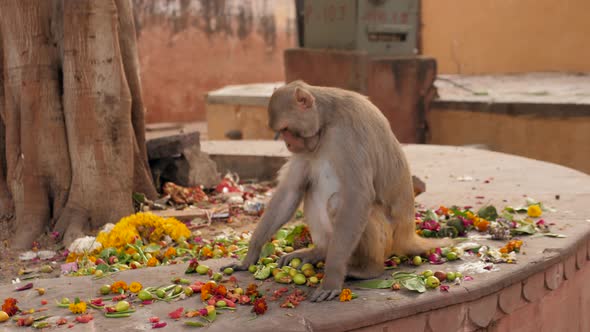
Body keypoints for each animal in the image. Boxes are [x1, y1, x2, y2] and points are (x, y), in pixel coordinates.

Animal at [222, 80, 454, 300]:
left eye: (286, 130)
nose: (288, 145)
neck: (327, 120)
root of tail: (408, 234)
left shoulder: (348, 133)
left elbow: (358, 195)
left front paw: (331, 278)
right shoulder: (309, 144)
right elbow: (290, 191)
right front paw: (249, 256)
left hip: (389, 238)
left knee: (338, 203)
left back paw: (367, 269)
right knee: (311, 189)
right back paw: (319, 251)